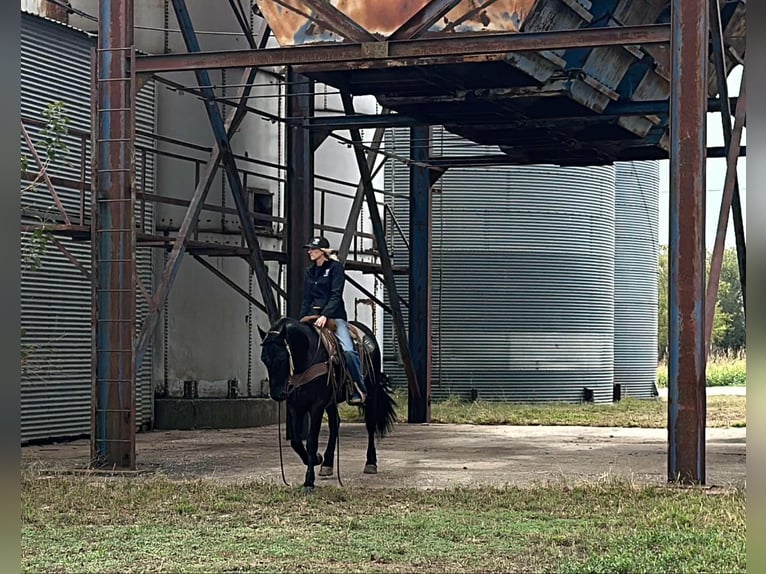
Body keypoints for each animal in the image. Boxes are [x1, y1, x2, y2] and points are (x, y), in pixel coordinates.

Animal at [260, 318, 400, 492]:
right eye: (264, 359)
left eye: (281, 358)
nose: (277, 394)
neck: (307, 354)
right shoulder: (294, 406)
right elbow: (296, 441)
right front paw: (316, 459)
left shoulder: (317, 406)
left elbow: (312, 441)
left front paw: (309, 481)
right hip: (331, 401)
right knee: (335, 424)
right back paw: (327, 464)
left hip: (371, 391)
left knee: (370, 424)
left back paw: (371, 463)